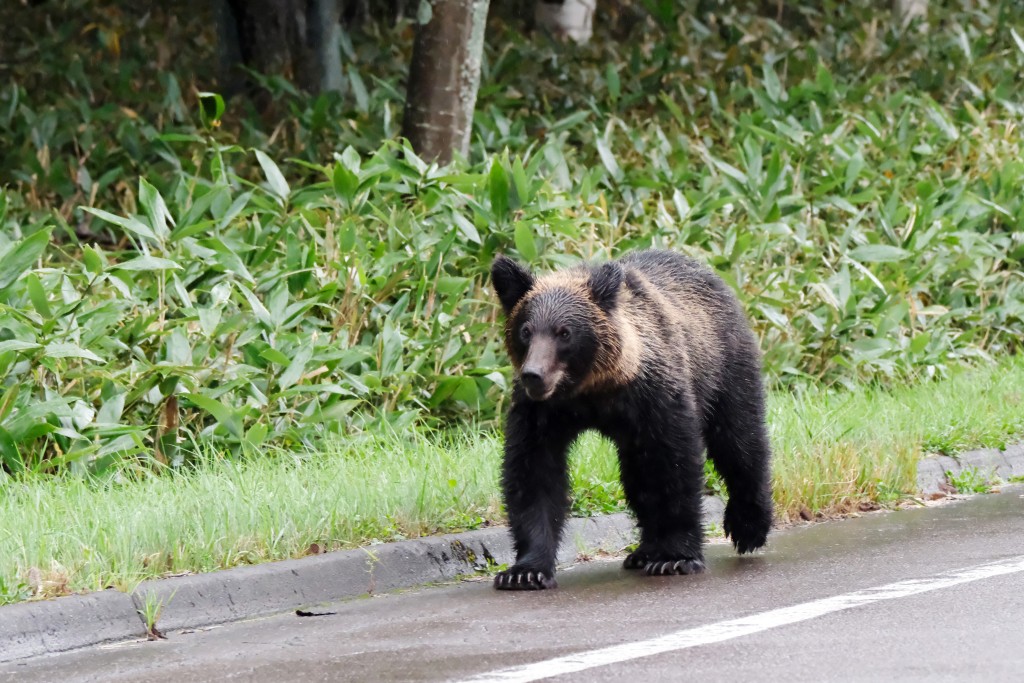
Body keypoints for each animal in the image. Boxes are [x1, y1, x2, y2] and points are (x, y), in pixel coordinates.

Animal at [489, 249, 774, 590]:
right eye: (525, 330)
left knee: (739, 441)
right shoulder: (541, 414)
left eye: (564, 332)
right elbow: (533, 474)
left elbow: (674, 466)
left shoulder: (656, 397)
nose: (534, 375)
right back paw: (644, 551)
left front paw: (675, 557)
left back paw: (749, 527)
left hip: (724, 368)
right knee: (637, 477)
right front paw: (525, 571)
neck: (593, 390)